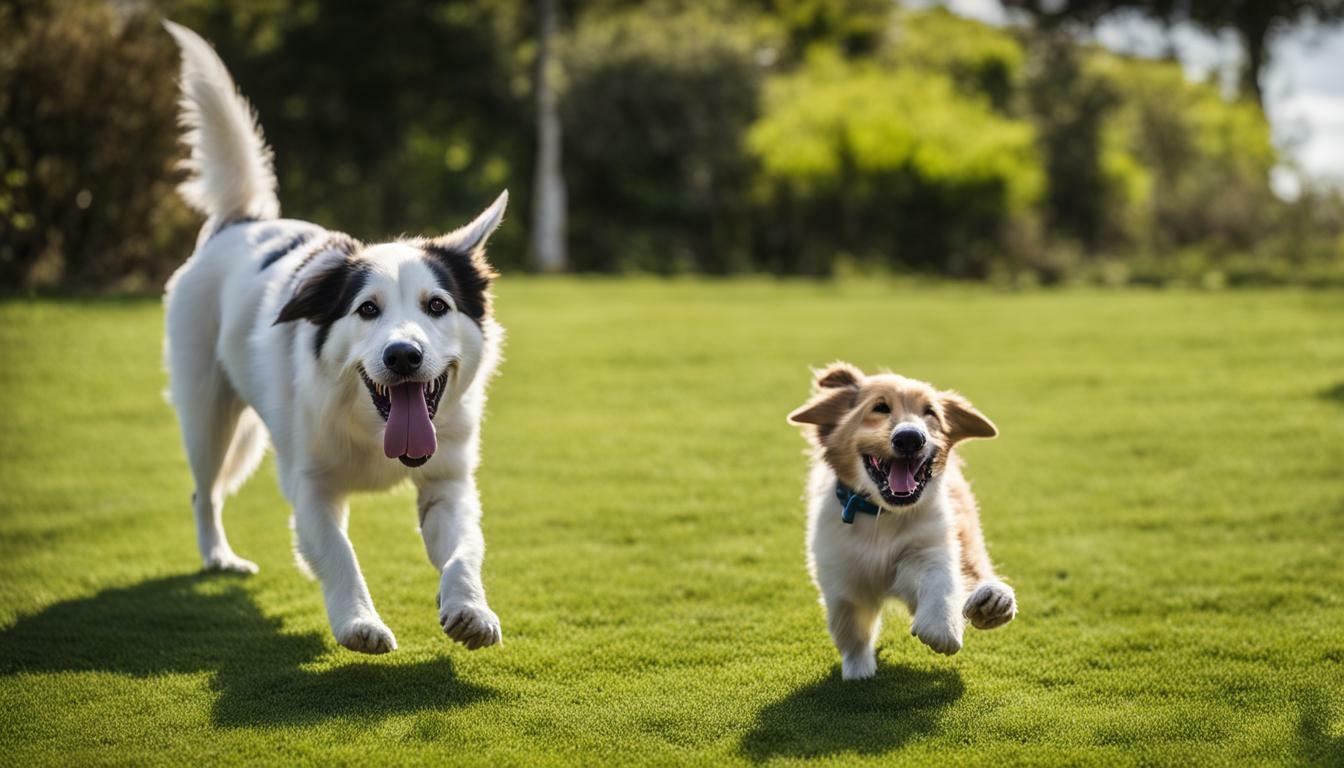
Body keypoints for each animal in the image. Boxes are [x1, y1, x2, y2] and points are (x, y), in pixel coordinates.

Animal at [162, 21, 505, 650]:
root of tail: (243, 221)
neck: (372, 426)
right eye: (367, 310)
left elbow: (465, 550)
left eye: (437, 306)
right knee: (205, 490)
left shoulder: (448, 484)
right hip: (208, 417)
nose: (403, 355)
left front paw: (470, 607)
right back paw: (218, 556)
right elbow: (341, 554)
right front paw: (360, 622)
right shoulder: (312, 490)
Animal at [784, 363, 1016, 683]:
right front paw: (858, 672)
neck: (880, 516)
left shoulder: (928, 548)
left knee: (974, 567)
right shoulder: (841, 578)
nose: (910, 438)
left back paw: (993, 599)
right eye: (880, 407)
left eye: (930, 412)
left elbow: (940, 580)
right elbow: (851, 628)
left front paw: (942, 628)